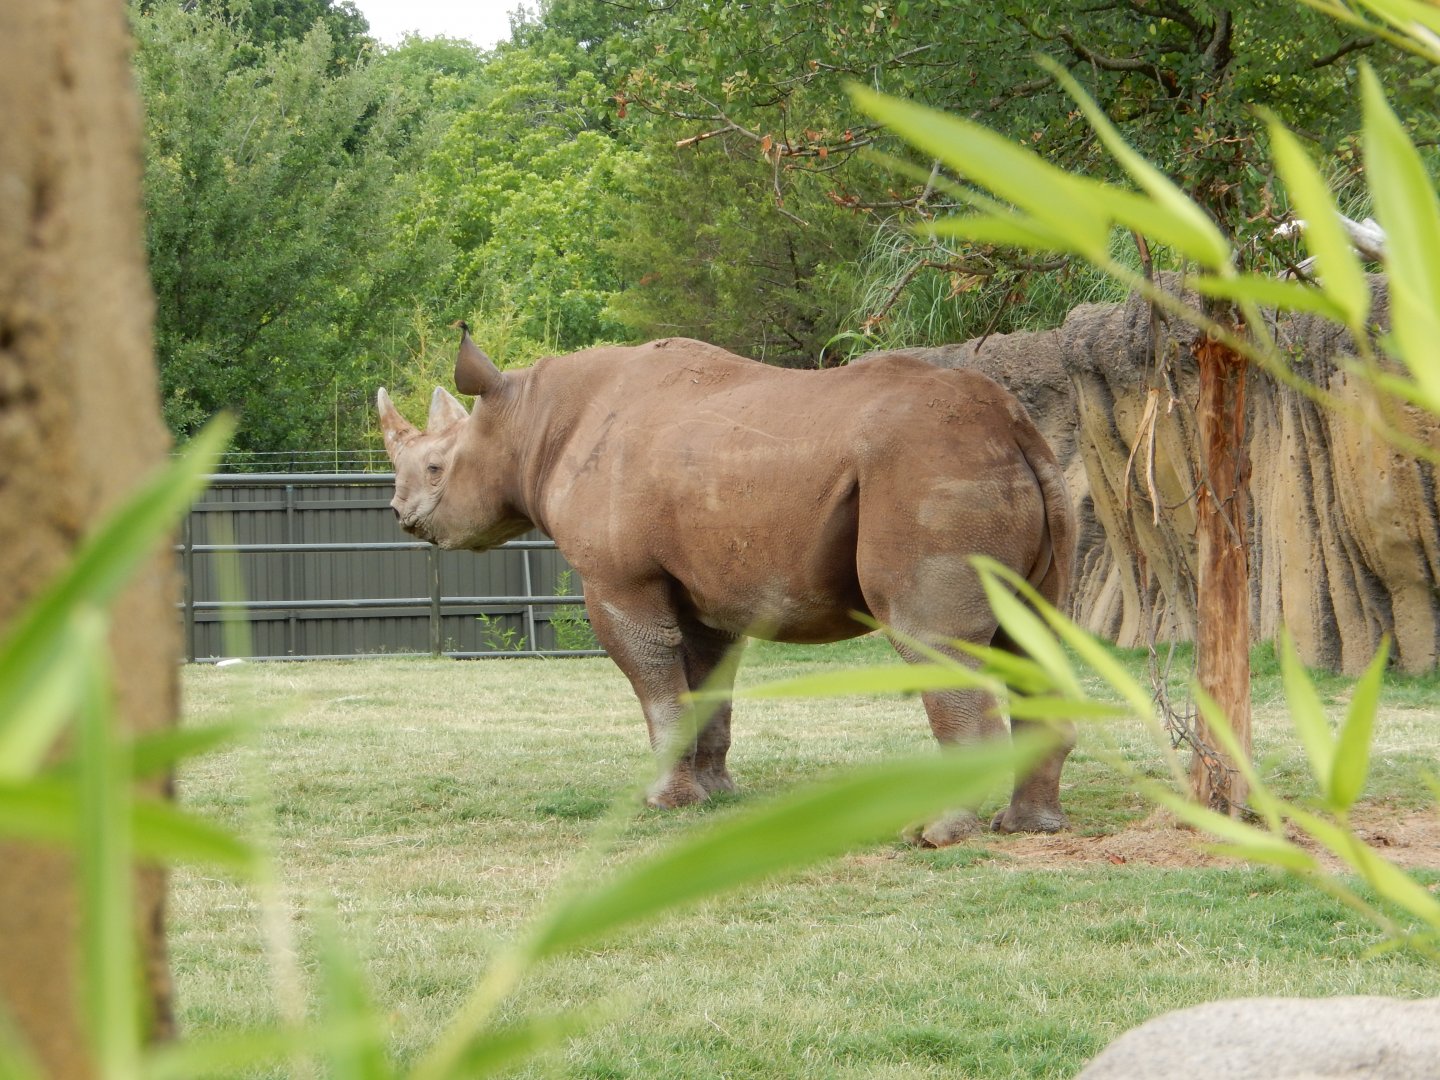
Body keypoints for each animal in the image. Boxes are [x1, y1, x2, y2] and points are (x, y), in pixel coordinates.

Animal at [377, 327, 1077, 846]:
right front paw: (714, 793)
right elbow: (705, 684)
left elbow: (654, 679)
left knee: (931, 639)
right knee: (1033, 638)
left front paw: (663, 802)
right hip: (999, 470)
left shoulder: (618, 580)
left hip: (928, 470)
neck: (528, 422)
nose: (400, 514)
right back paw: (1028, 827)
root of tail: (1015, 425)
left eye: (436, 467)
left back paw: (934, 835)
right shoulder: (708, 587)